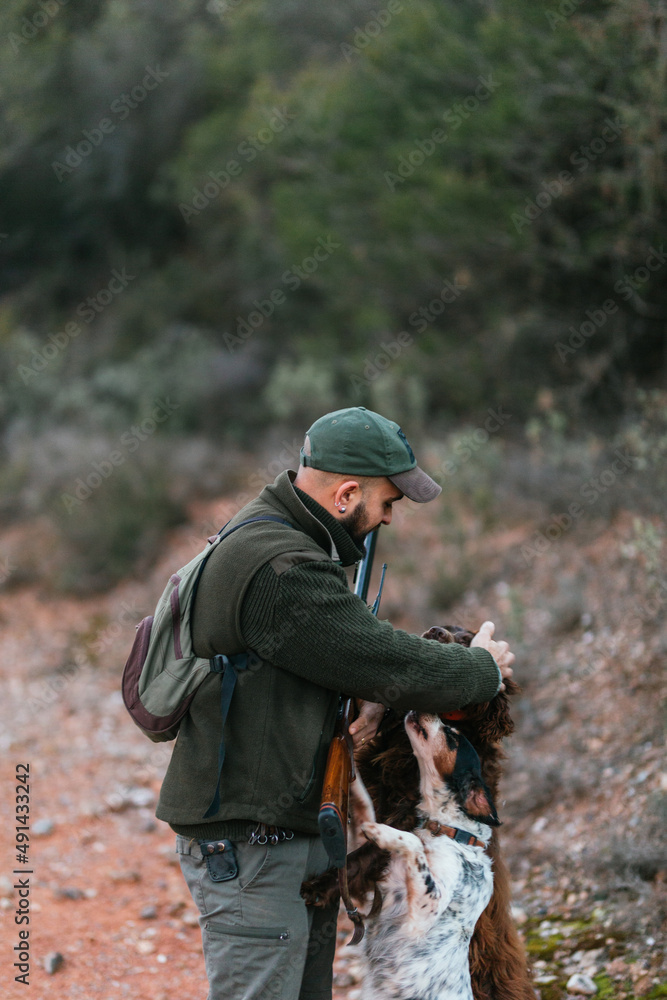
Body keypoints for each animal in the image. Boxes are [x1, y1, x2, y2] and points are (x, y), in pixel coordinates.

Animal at [352, 712, 498, 1000]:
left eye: (452, 737)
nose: (425, 711)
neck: (451, 833)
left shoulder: (426, 909)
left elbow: (411, 842)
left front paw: (381, 832)